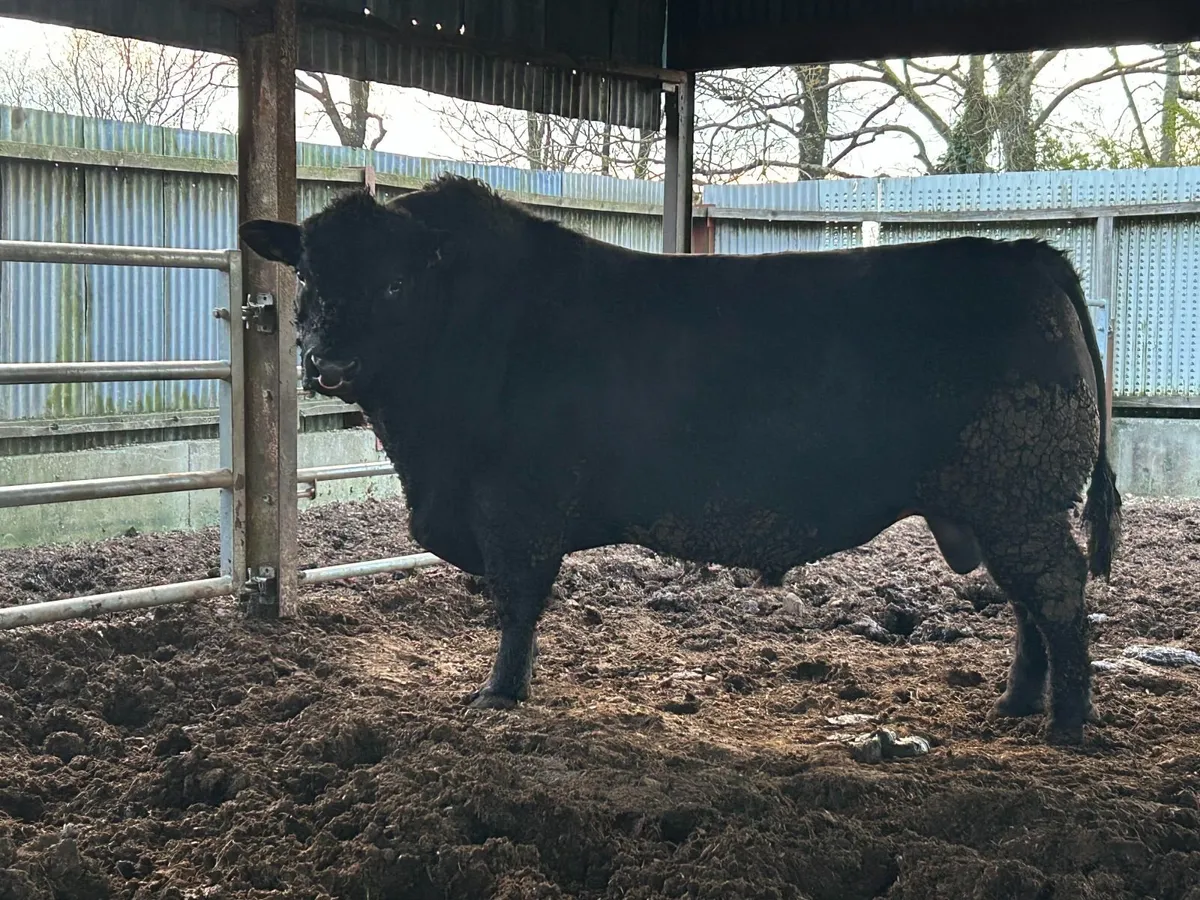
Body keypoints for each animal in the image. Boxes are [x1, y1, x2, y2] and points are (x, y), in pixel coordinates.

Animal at [239, 175, 1121, 745]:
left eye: (394, 286)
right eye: (306, 273)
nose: (325, 364)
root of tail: (1026, 252)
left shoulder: (518, 508)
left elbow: (518, 605)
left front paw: (499, 695)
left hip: (1019, 494)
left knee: (1057, 590)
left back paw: (1068, 724)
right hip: (998, 502)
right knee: (1026, 600)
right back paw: (1017, 704)